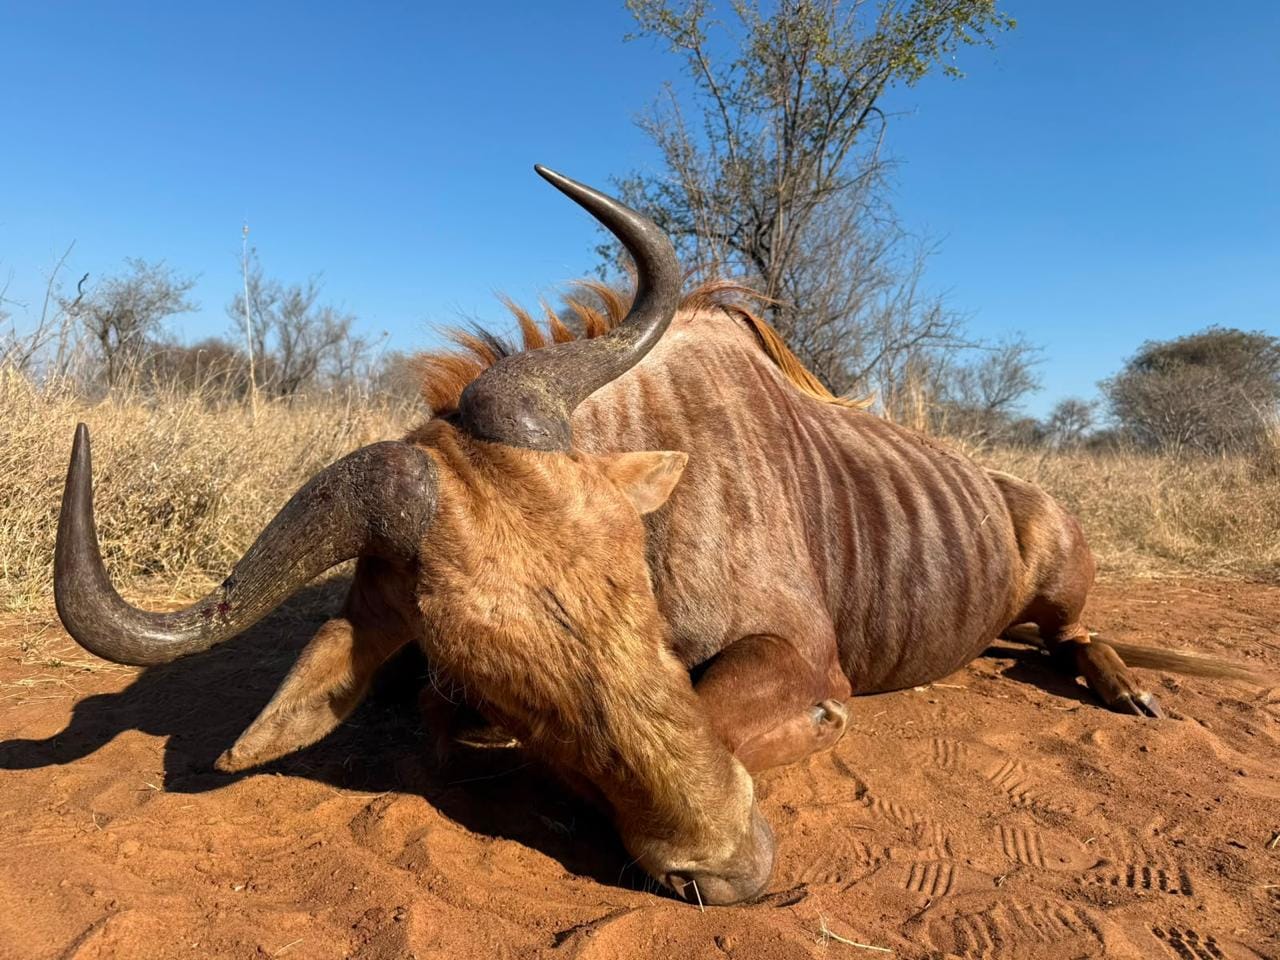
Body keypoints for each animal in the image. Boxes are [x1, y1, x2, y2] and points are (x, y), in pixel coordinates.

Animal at [53, 166, 1250, 905]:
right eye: (473, 663)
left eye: (635, 573)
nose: (727, 865)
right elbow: (471, 744)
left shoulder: (798, 657)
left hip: (1057, 569)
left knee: (1076, 635)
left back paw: (1129, 689)